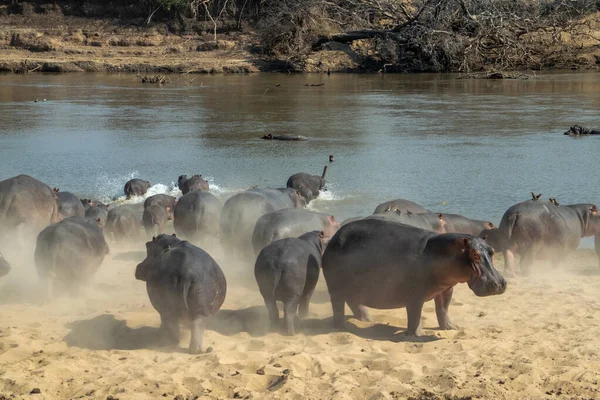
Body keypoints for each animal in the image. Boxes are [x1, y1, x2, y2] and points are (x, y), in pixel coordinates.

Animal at [324, 220, 506, 336]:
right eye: (474, 254)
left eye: (491, 251)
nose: (499, 283)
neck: (444, 252)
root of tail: (334, 238)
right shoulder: (415, 294)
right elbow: (415, 313)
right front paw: (417, 335)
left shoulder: (447, 289)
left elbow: (443, 309)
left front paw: (451, 327)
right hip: (336, 288)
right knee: (338, 306)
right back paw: (342, 327)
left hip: (354, 286)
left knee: (354, 301)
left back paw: (368, 319)